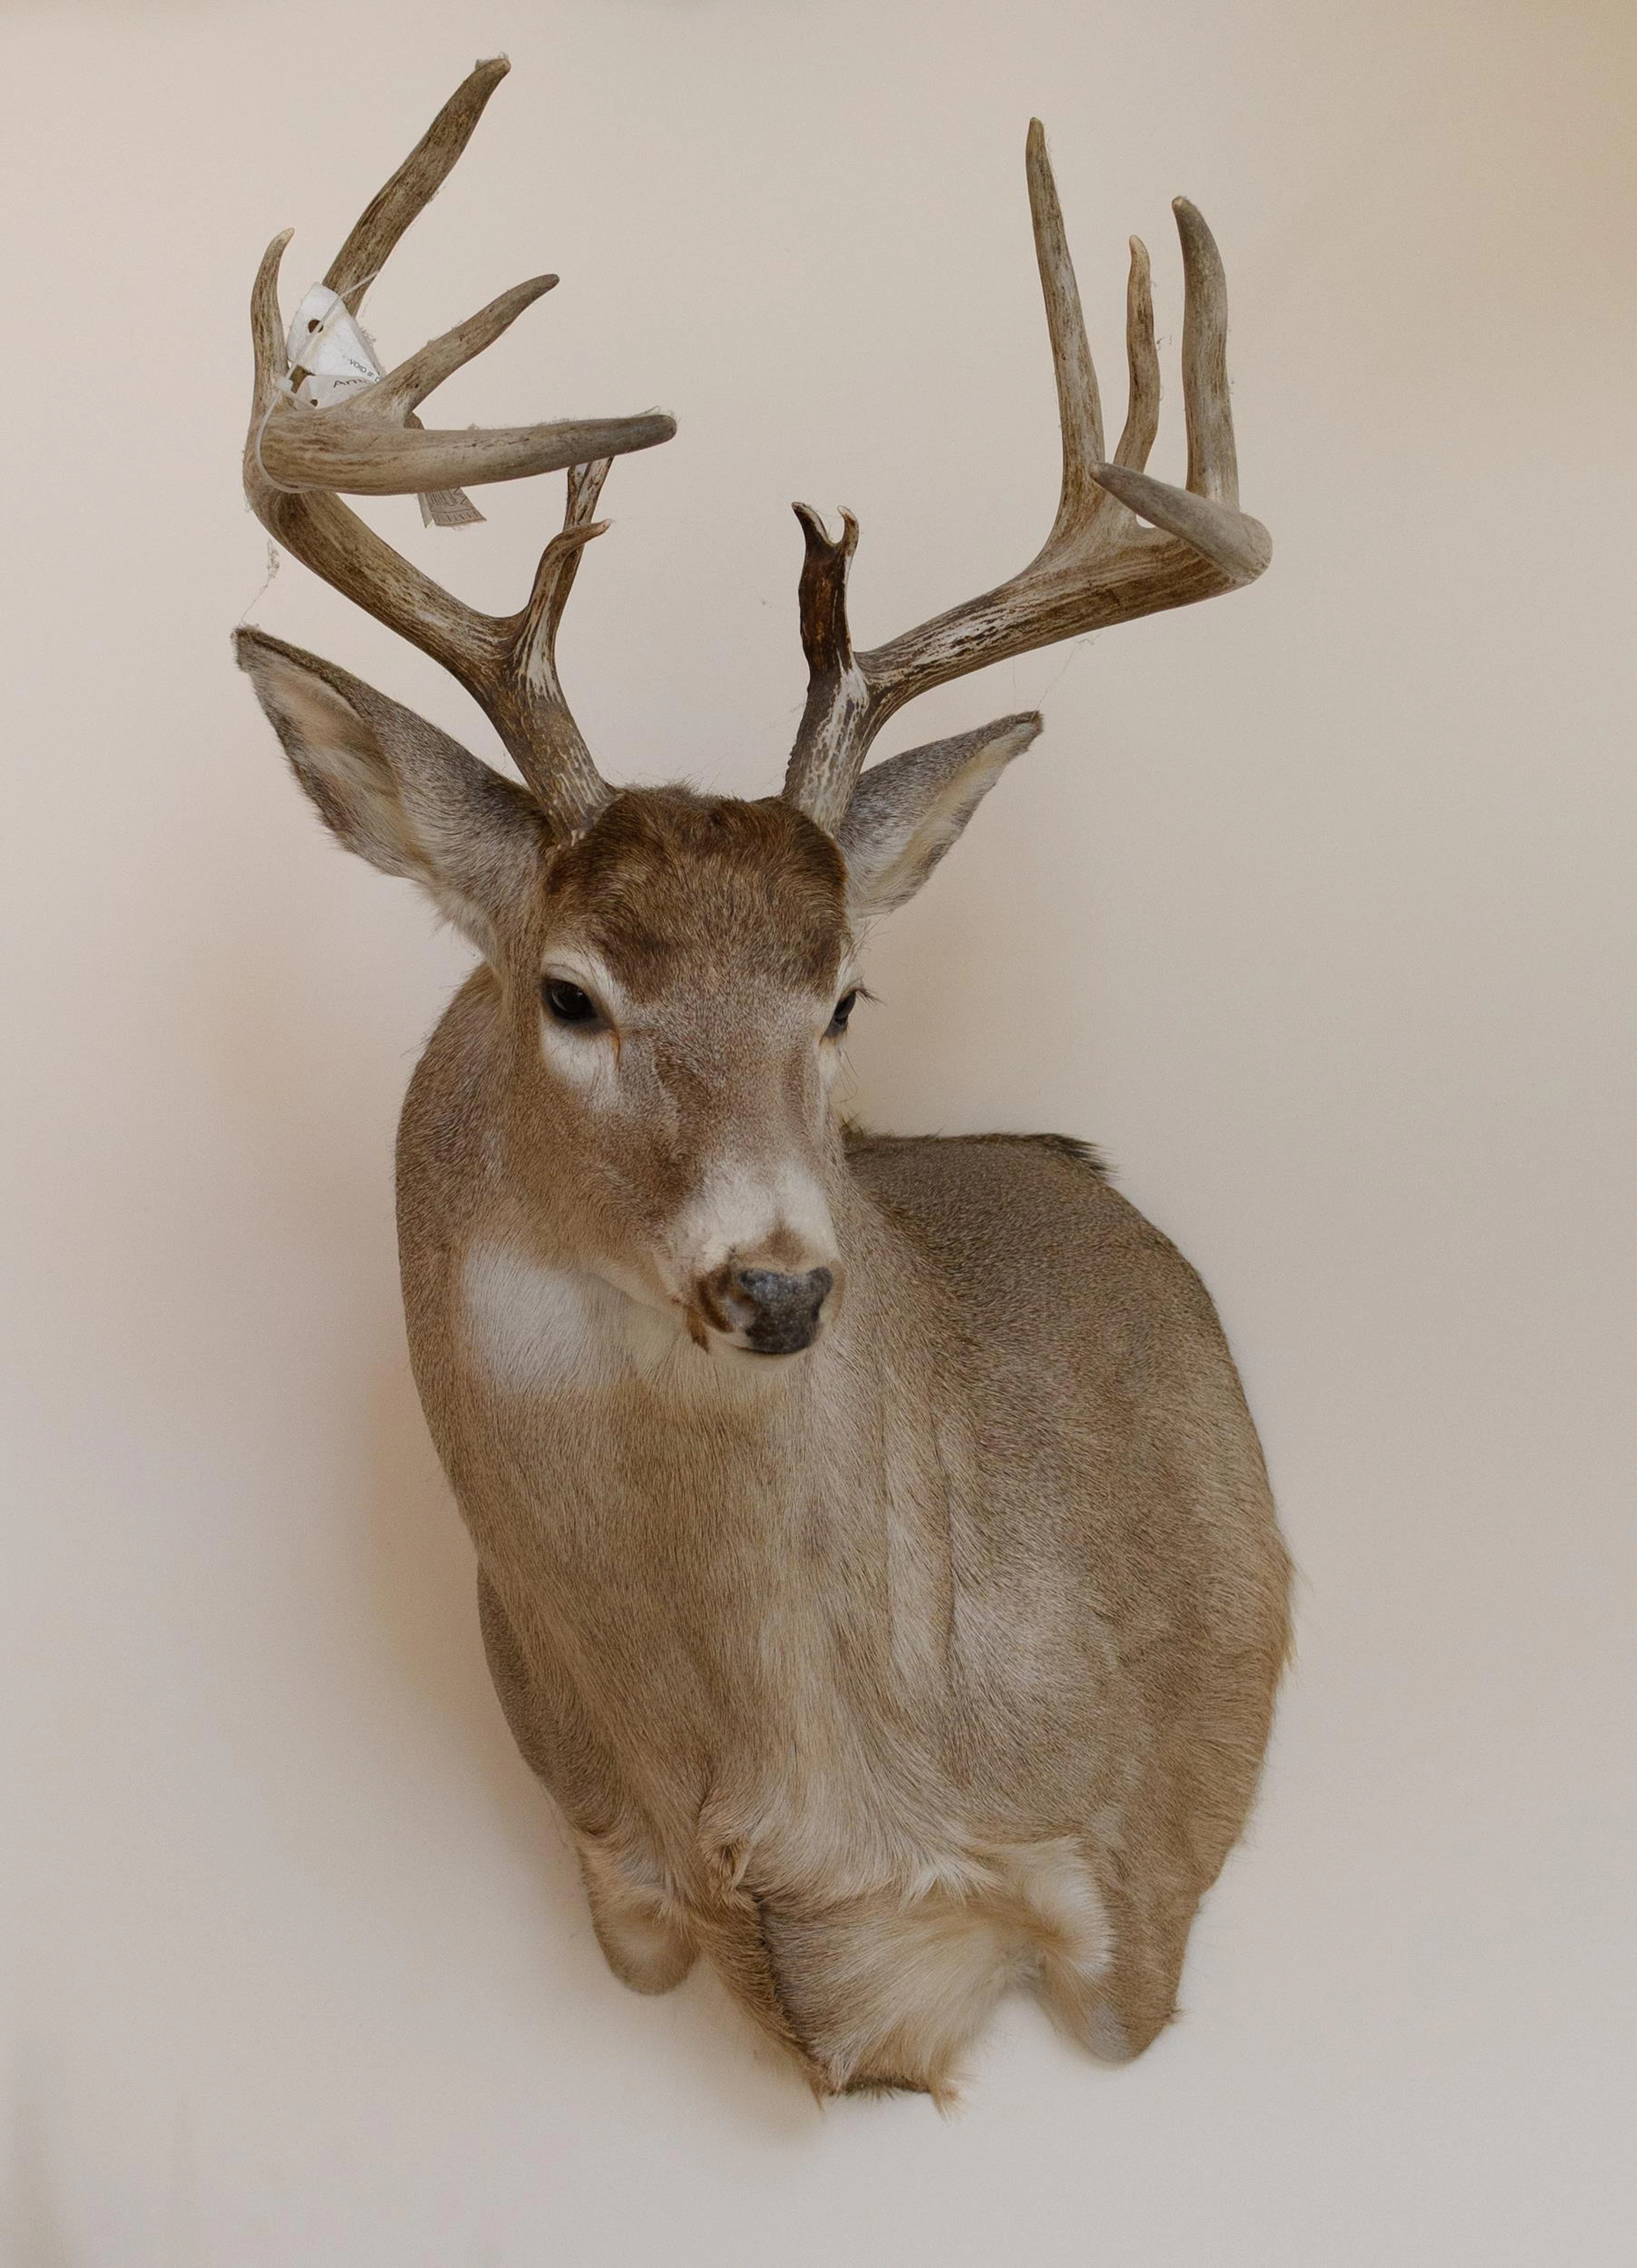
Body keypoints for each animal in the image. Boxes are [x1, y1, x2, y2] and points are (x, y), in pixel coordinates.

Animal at [234, 57, 1291, 2104]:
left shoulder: (1144, 1871)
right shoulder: (618, 1881)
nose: (783, 1279)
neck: (803, 1801)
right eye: (569, 992)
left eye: (846, 995)